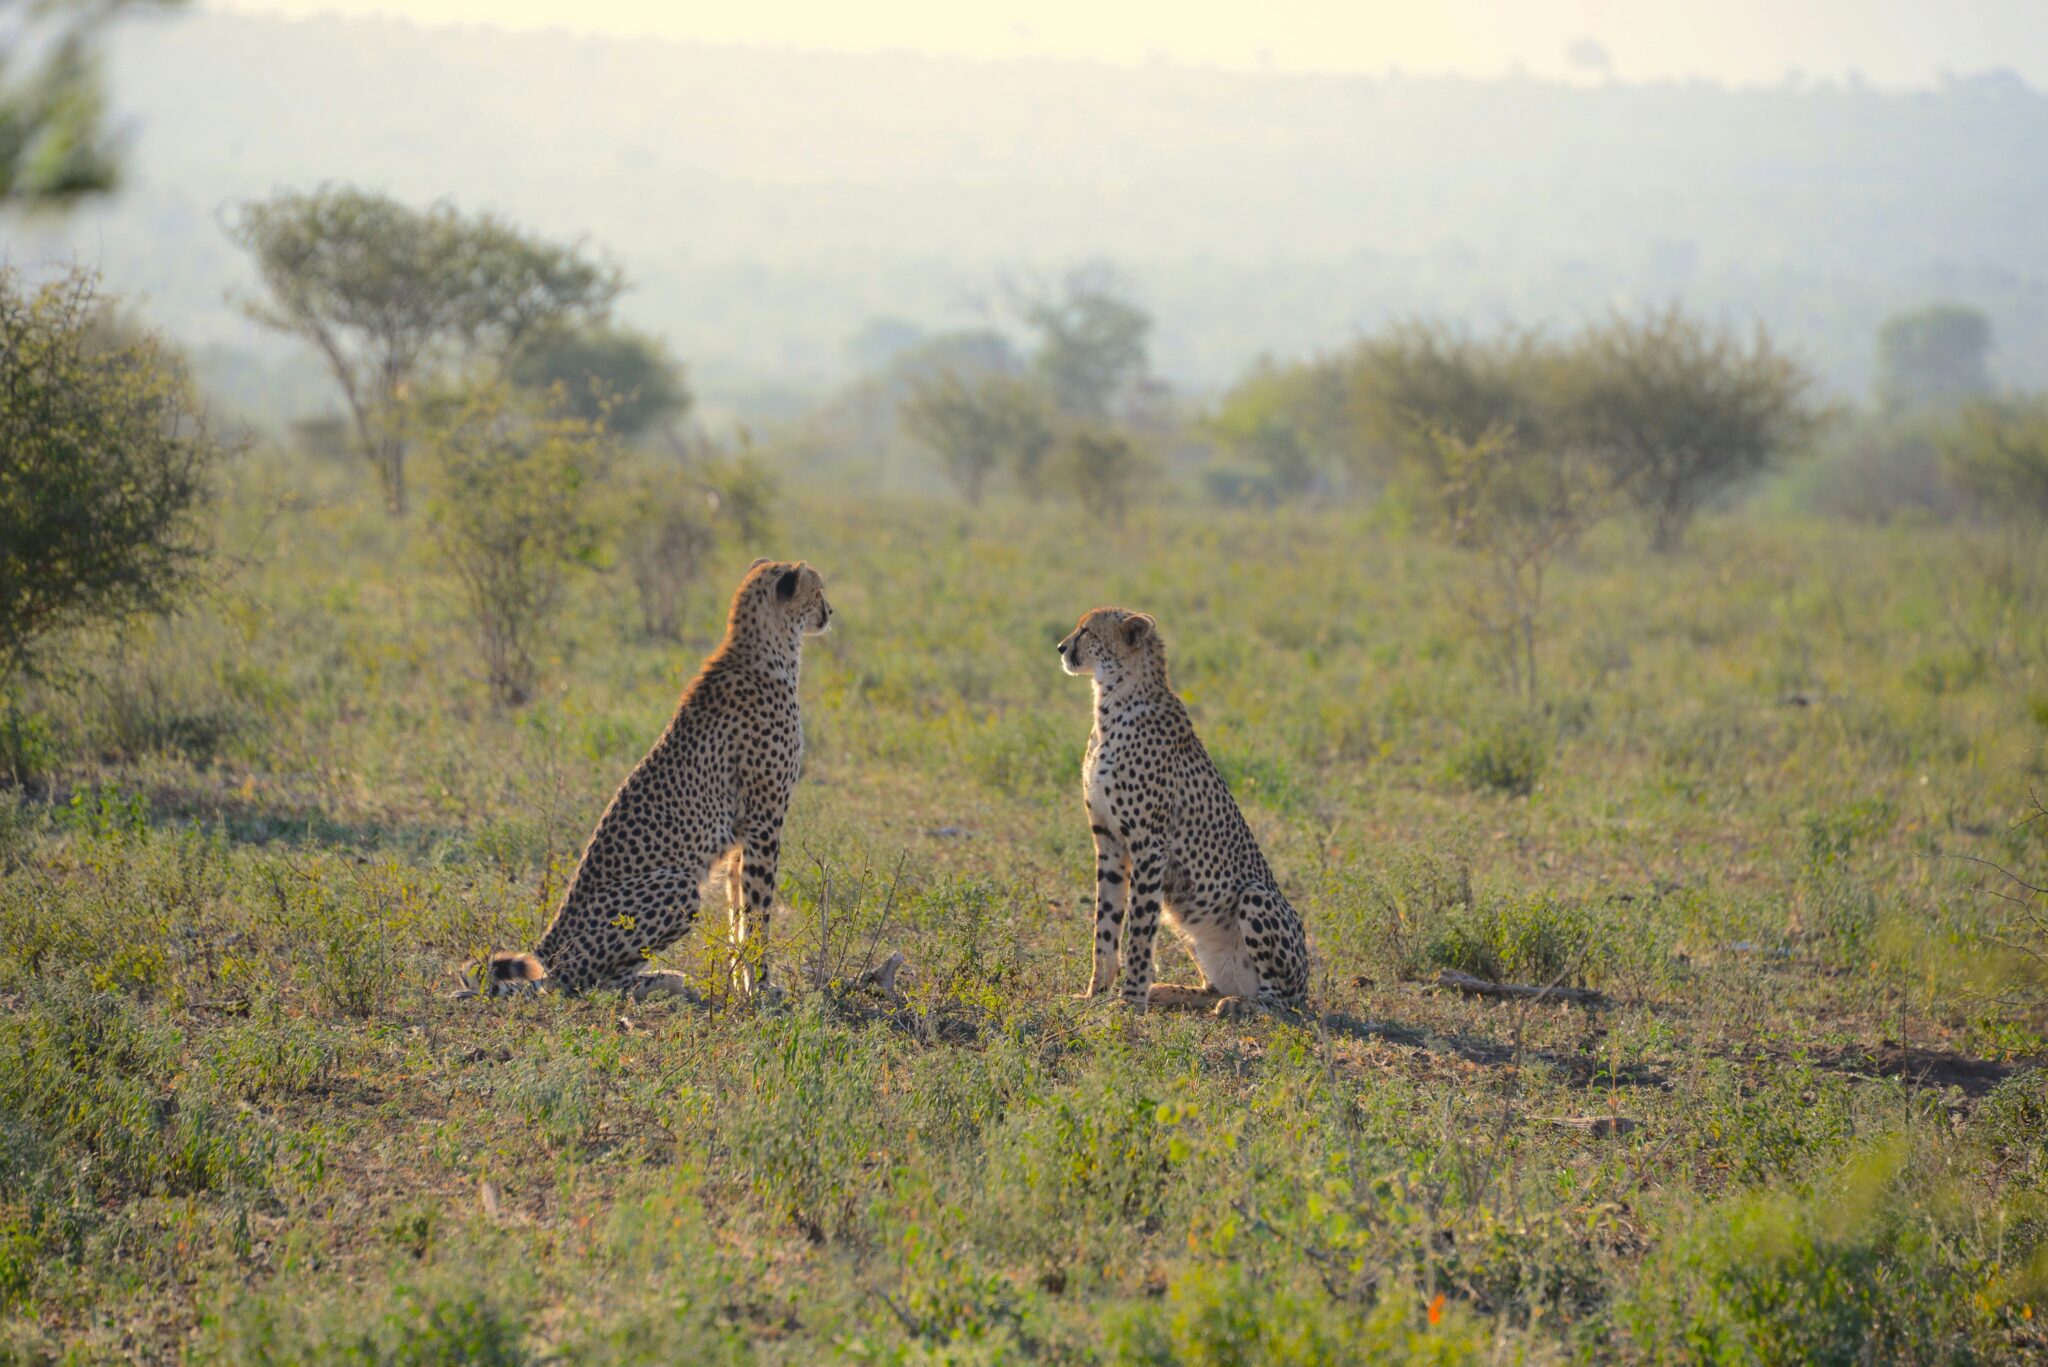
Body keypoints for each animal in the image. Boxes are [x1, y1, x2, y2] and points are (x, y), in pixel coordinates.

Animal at [468, 557, 831, 1004]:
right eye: (818, 591)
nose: (829, 612)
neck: (768, 648)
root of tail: (546, 948)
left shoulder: (742, 835)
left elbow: (737, 912)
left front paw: (739, 985)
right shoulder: (764, 821)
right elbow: (758, 913)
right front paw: (761, 989)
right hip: (678, 885)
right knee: (580, 985)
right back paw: (661, 982)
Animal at [1056, 610, 1310, 1016]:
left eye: (1087, 631)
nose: (1061, 648)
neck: (1113, 701)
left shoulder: (1149, 845)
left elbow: (1139, 931)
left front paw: (1130, 1001)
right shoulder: (1109, 841)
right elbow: (1106, 926)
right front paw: (1095, 994)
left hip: (1255, 896)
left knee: (1282, 1004)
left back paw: (1241, 1006)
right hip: (1185, 918)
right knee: (1214, 987)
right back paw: (1171, 991)